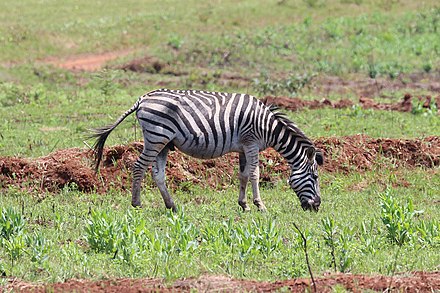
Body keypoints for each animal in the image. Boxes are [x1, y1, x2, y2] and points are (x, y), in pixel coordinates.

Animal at [90, 88, 324, 211]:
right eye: (315, 177)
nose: (317, 206)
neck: (268, 127)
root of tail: (142, 99)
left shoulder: (242, 148)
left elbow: (243, 175)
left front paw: (243, 204)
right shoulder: (251, 143)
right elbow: (255, 174)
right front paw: (260, 205)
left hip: (163, 142)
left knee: (158, 174)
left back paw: (171, 205)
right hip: (156, 138)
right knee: (138, 167)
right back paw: (136, 203)